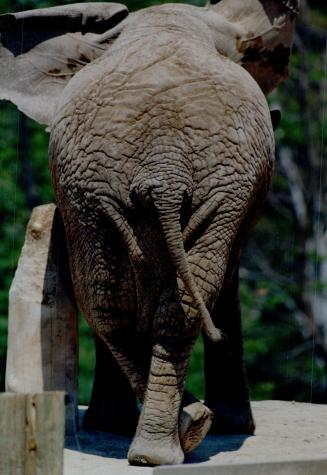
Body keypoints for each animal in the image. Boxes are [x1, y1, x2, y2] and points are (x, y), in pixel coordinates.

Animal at [0, 0, 298, 468]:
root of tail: (165, 165)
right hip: (112, 181)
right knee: (151, 303)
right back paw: (179, 436)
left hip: (105, 184)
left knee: (109, 301)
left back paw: (163, 442)